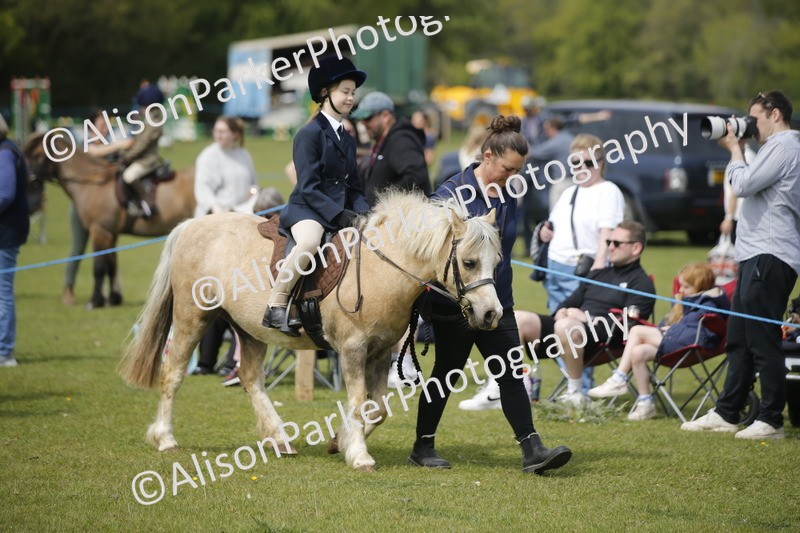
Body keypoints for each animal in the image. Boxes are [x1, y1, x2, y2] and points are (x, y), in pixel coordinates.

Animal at [22, 133, 196, 308]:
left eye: (37, 155)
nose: (28, 181)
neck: (94, 184)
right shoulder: (111, 234)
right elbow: (111, 266)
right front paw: (113, 299)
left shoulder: (100, 231)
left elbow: (99, 267)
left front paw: (95, 300)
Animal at [118, 191, 503, 471]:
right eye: (469, 262)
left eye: (496, 262)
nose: (491, 314)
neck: (381, 269)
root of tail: (190, 225)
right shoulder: (352, 349)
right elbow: (358, 401)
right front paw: (359, 454)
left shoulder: (380, 351)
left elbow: (377, 407)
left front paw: (341, 441)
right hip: (192, 318)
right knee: (173, 374)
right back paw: (166, 438)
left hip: (249, 330)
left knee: (251, 379)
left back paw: (278, 438)